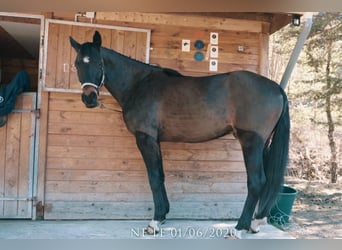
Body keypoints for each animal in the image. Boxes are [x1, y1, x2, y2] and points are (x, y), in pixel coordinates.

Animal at [69, 30, 288, 236]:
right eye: (77, 63)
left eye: (98, 63)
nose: (89, 98)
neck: (138, 84)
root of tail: (276, 87)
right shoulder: (155, 141)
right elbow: (161, 175)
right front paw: (164, 215)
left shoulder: (145, 138)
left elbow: (154, 177)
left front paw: (155, 222)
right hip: (262, 144)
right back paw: (255, 223)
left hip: (251, 142)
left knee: (257, 182)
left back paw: (238, 228)